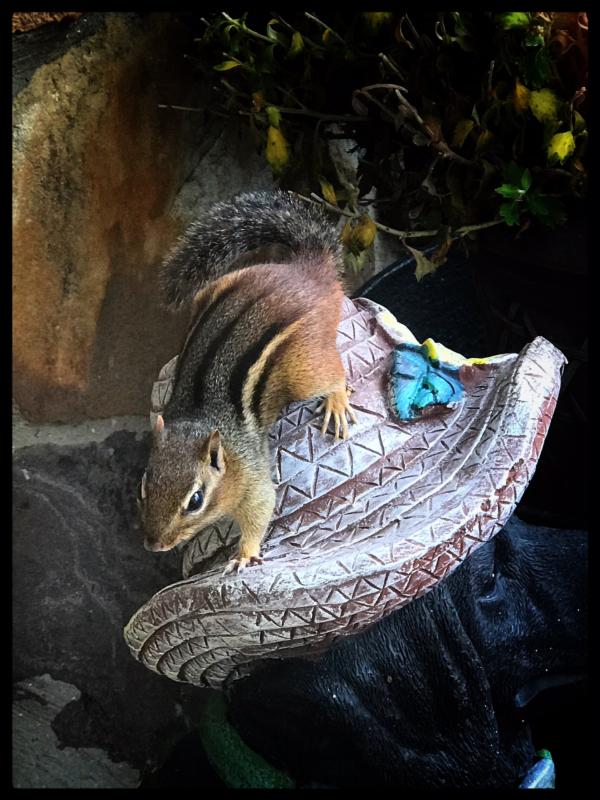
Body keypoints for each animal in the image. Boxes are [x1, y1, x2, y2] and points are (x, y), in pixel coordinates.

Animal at [138, 191, 356, 573]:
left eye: (195, 500)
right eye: (145, 486)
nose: (154, 545)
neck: (198, 420)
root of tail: (305, 270)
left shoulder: (253, 473)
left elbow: (261, 507)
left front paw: (244, 554)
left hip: (306, 368)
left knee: (334, 373)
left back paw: (337, 402)